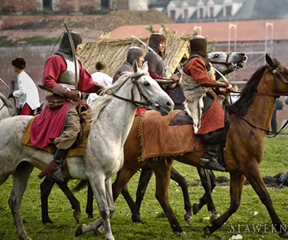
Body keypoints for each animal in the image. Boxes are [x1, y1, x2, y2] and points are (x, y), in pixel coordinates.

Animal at [0, 60, 174, 240]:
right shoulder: (96, 176)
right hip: (4, 170)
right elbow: (104, 209)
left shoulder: (106, 177)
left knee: (14, 201)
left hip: (22, 169)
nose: (169, 104)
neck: (107, 129)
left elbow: (111, 208)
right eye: (146, 84)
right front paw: (107, 235)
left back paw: (23, 234)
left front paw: (86, 228)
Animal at [38, 51, 248, 225]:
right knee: (55, 181)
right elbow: (189, 181)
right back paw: (68, 211)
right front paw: (194, 210)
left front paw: (201, 208)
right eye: (215, 55)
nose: (241, 56)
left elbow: (205, 181)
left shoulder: (154, 163)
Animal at [81, 53, 288, 237]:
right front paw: (281, 228)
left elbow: (235, 202)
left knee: (157, 194)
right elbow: (265, 197)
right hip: (133, 164)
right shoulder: (250, 166)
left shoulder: (239, 171)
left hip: (158, 163)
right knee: (117, 189)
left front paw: (211, 225)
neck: (245, 122)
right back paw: (99, 223)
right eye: (285, 72)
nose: (242, 57)